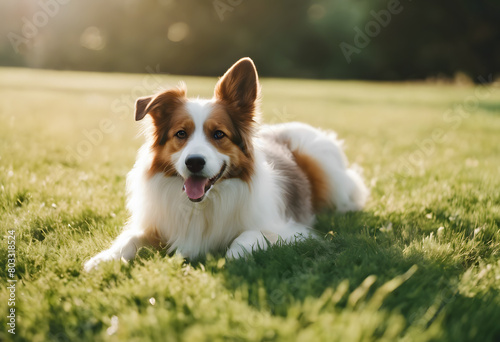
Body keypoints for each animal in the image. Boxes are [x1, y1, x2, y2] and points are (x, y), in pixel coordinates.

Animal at [84, 57, 370, 272]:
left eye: (218, 134)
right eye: (181, 134)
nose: (194, 162)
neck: (203, 203)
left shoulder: (290, 230)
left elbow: (248, 236)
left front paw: (230, 259)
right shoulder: (157, 224)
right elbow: (130, 239)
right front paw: (102, 259)